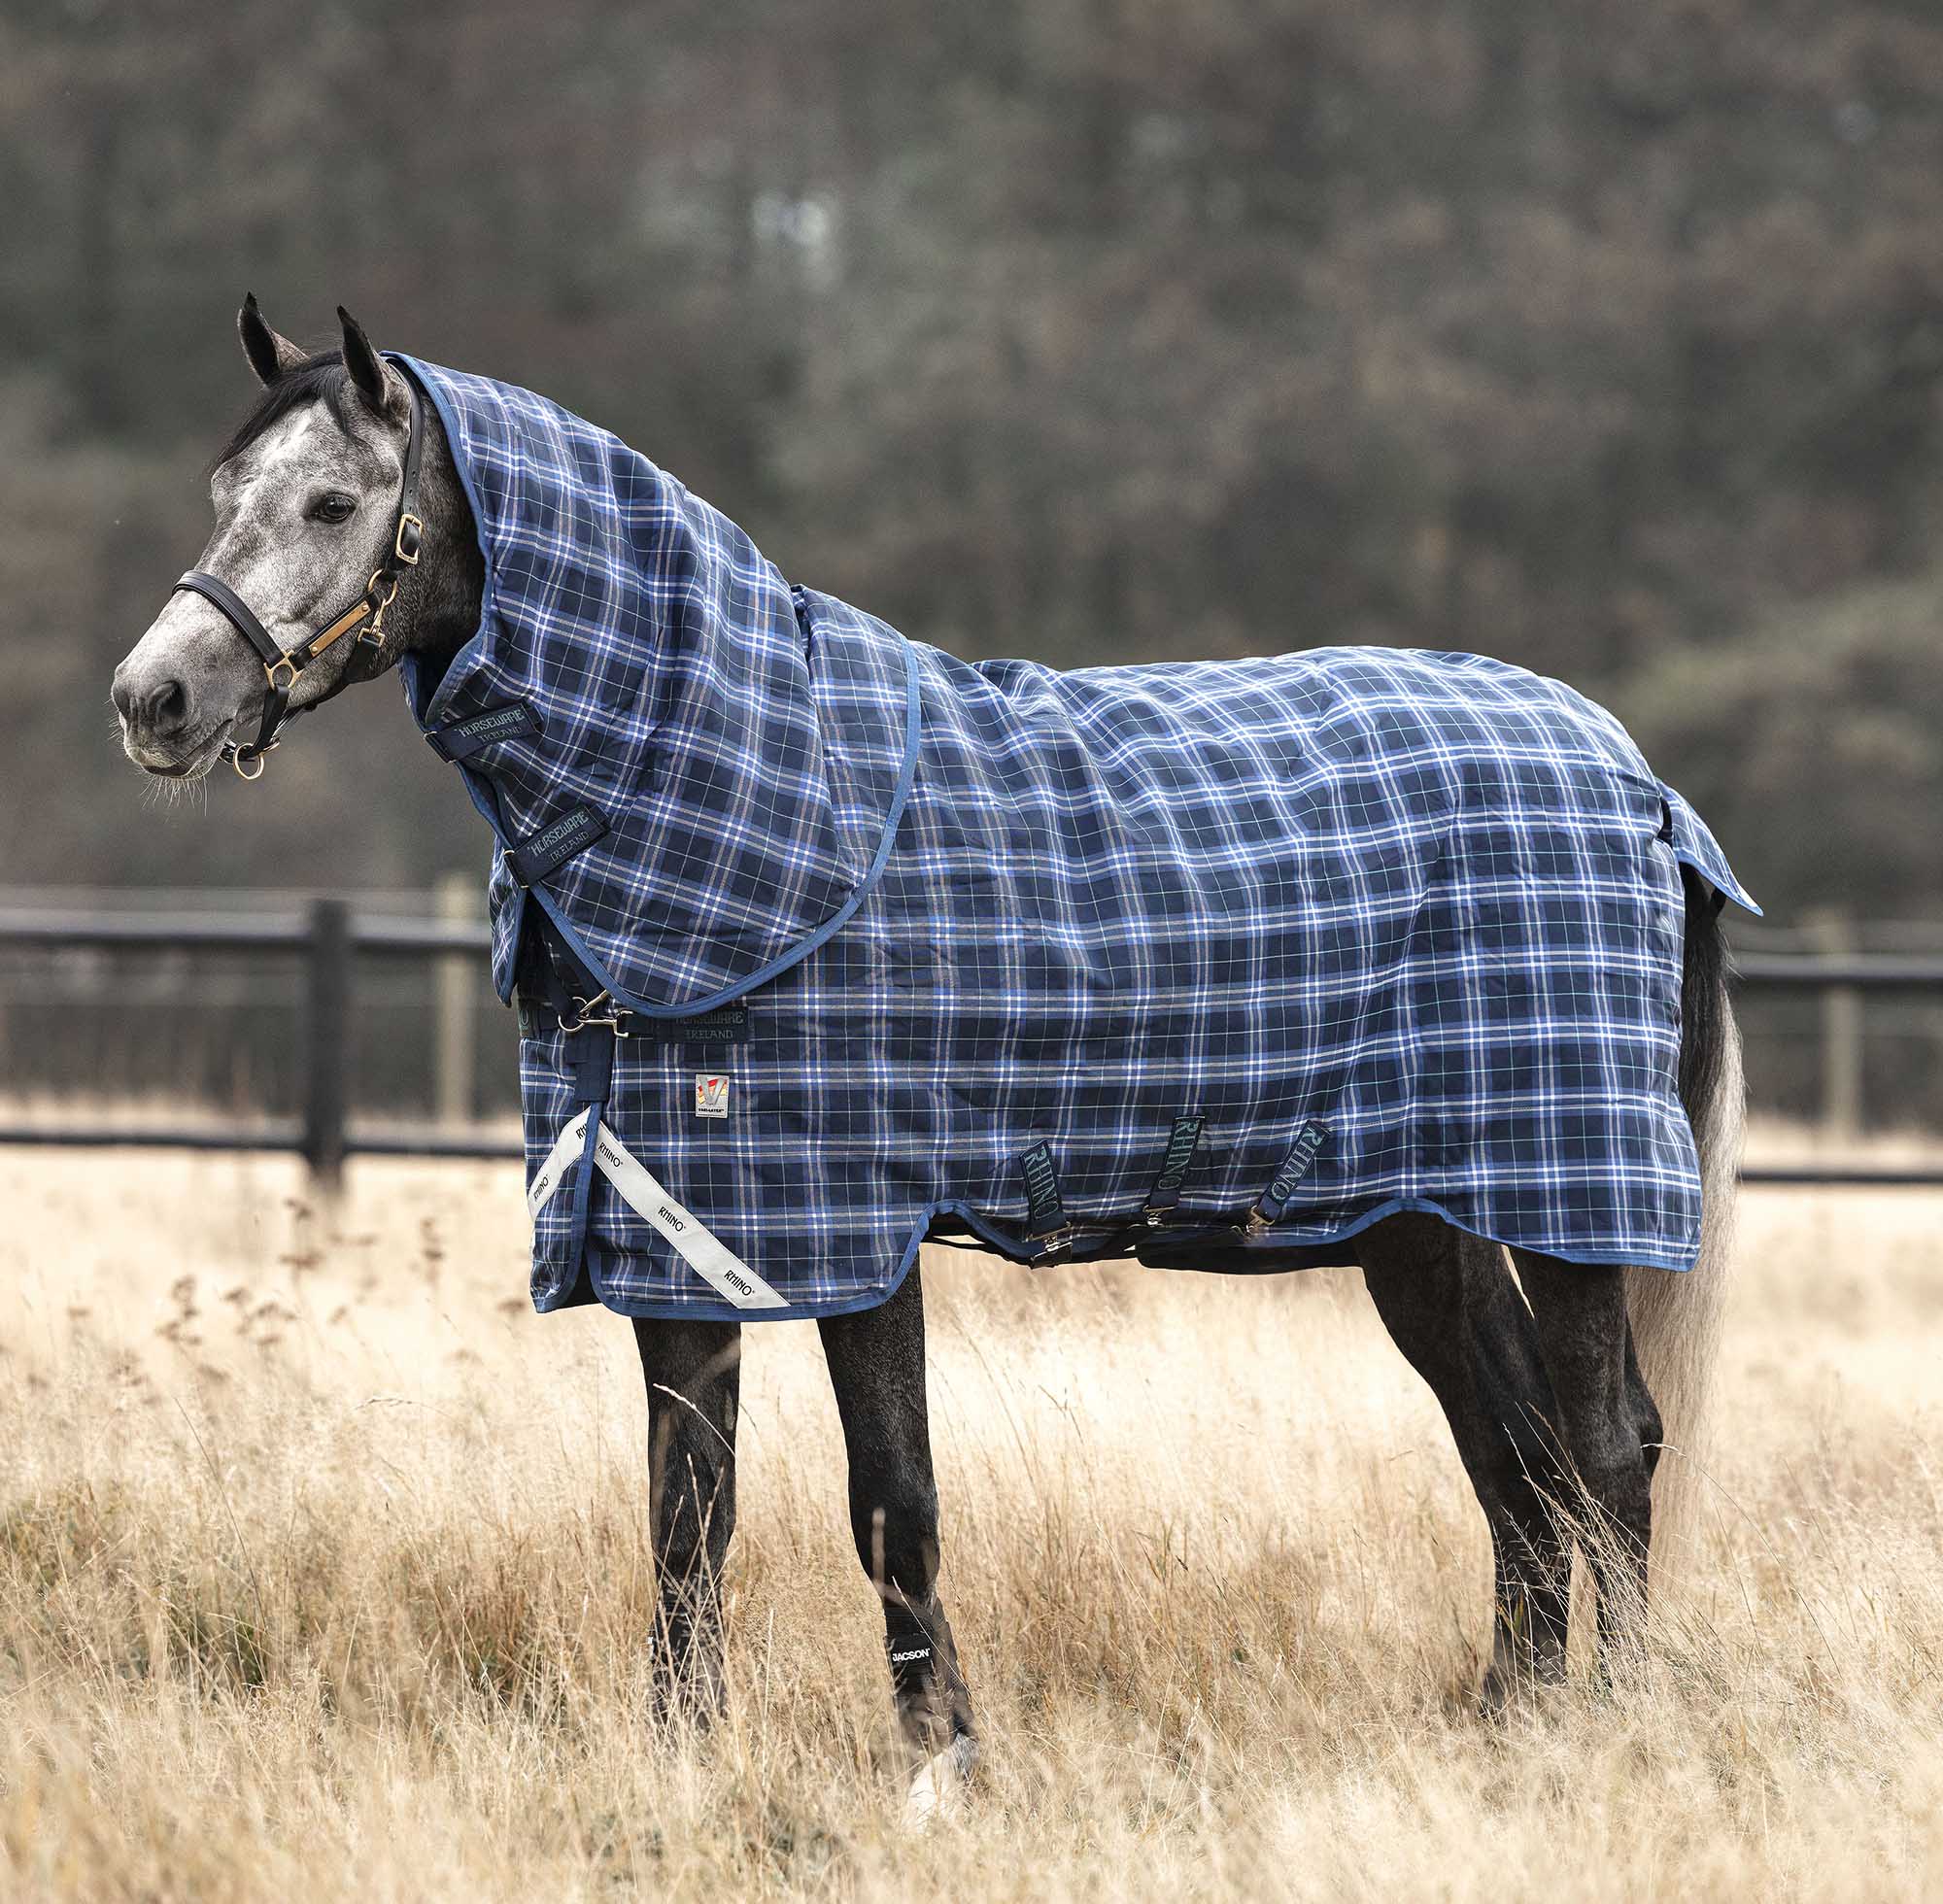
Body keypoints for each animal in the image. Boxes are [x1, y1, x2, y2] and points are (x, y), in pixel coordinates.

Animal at [112, 300, 1746, 1817]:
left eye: (334, 505)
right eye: (224, 492)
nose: (155, 700)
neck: (756, 803)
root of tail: (1636, 783)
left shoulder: (857, 1236)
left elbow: (891, 1504)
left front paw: (942, 1762)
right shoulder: (674, 1231)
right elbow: (686, 1519)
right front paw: (682, 1761)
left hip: (1570, 1193)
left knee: (1608, 1450)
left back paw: (1611, 1728)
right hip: (1427, 1224)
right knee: (1519, 1466)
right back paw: (1513, 1732)